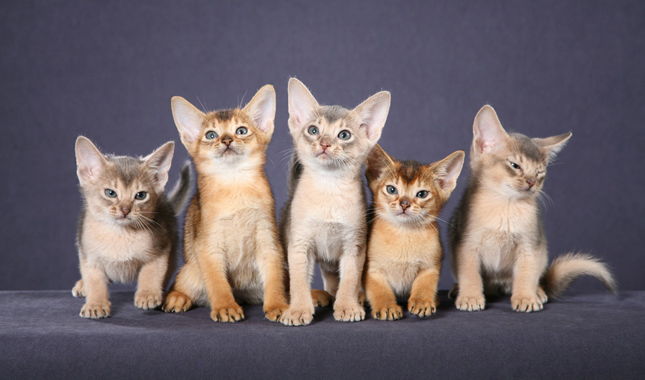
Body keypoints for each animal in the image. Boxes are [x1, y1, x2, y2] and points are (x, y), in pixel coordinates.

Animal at [72, 135, 190, 320]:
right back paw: (82, 285)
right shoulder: (89, 255)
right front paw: (96, 304)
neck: (120, 234)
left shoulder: (161, 248)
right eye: (110, 193)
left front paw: (148, 294)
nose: (125, 209)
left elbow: (152, 271)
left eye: (140, 195)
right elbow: (95, 281)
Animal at [162, 84, 288, 322]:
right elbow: (218, 283)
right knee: (179, 284)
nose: (227, 140)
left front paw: (278, 305)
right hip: (192, 271)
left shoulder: (268, 240)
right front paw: (226, 307)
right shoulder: (207, 246)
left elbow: (275, 279)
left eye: (241, 130)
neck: (235, 186)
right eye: (211, 135)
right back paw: (177, 298)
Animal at [280, 78, 390, 326]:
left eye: (344, 135)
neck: (328, 188)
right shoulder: (299, 244)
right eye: (313, 130)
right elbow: (298, 280)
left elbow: (349, 279)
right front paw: (298, 309)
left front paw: (347, 306)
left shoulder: (354, 245)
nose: (324, 143)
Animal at [362, 145, 462, 320]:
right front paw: (387, 306)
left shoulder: (430, 266)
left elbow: (424, 284)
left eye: (422, 194)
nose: (404, 203)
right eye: (391, 189)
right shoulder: (372, 269)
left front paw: (422, 302)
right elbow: (379, 290)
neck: (404, 233)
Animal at [448, 104, 612, 312]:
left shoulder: (530, 246)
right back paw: (457, 289)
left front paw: (526, 297)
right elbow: (470, 274)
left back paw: (539, 291)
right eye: (515, 165)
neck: (505, 207)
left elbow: (526, 274)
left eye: (540, 172)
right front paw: (470, 296)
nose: (532, 182)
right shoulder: (466, 244)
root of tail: (498, 285)